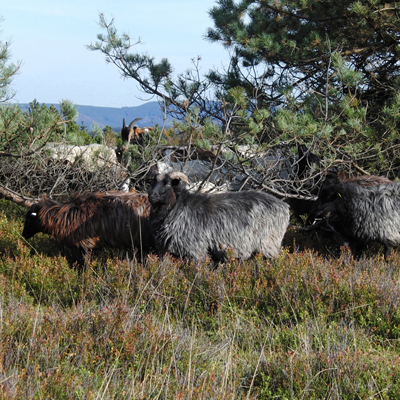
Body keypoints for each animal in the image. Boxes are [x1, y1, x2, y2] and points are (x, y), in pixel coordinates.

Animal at [147, 172, 290, 262]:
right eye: (153, 182)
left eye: (167, 183)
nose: (151, 195)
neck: (176, 207)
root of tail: (284, 206)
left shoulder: (196, 249)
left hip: (269, 243)